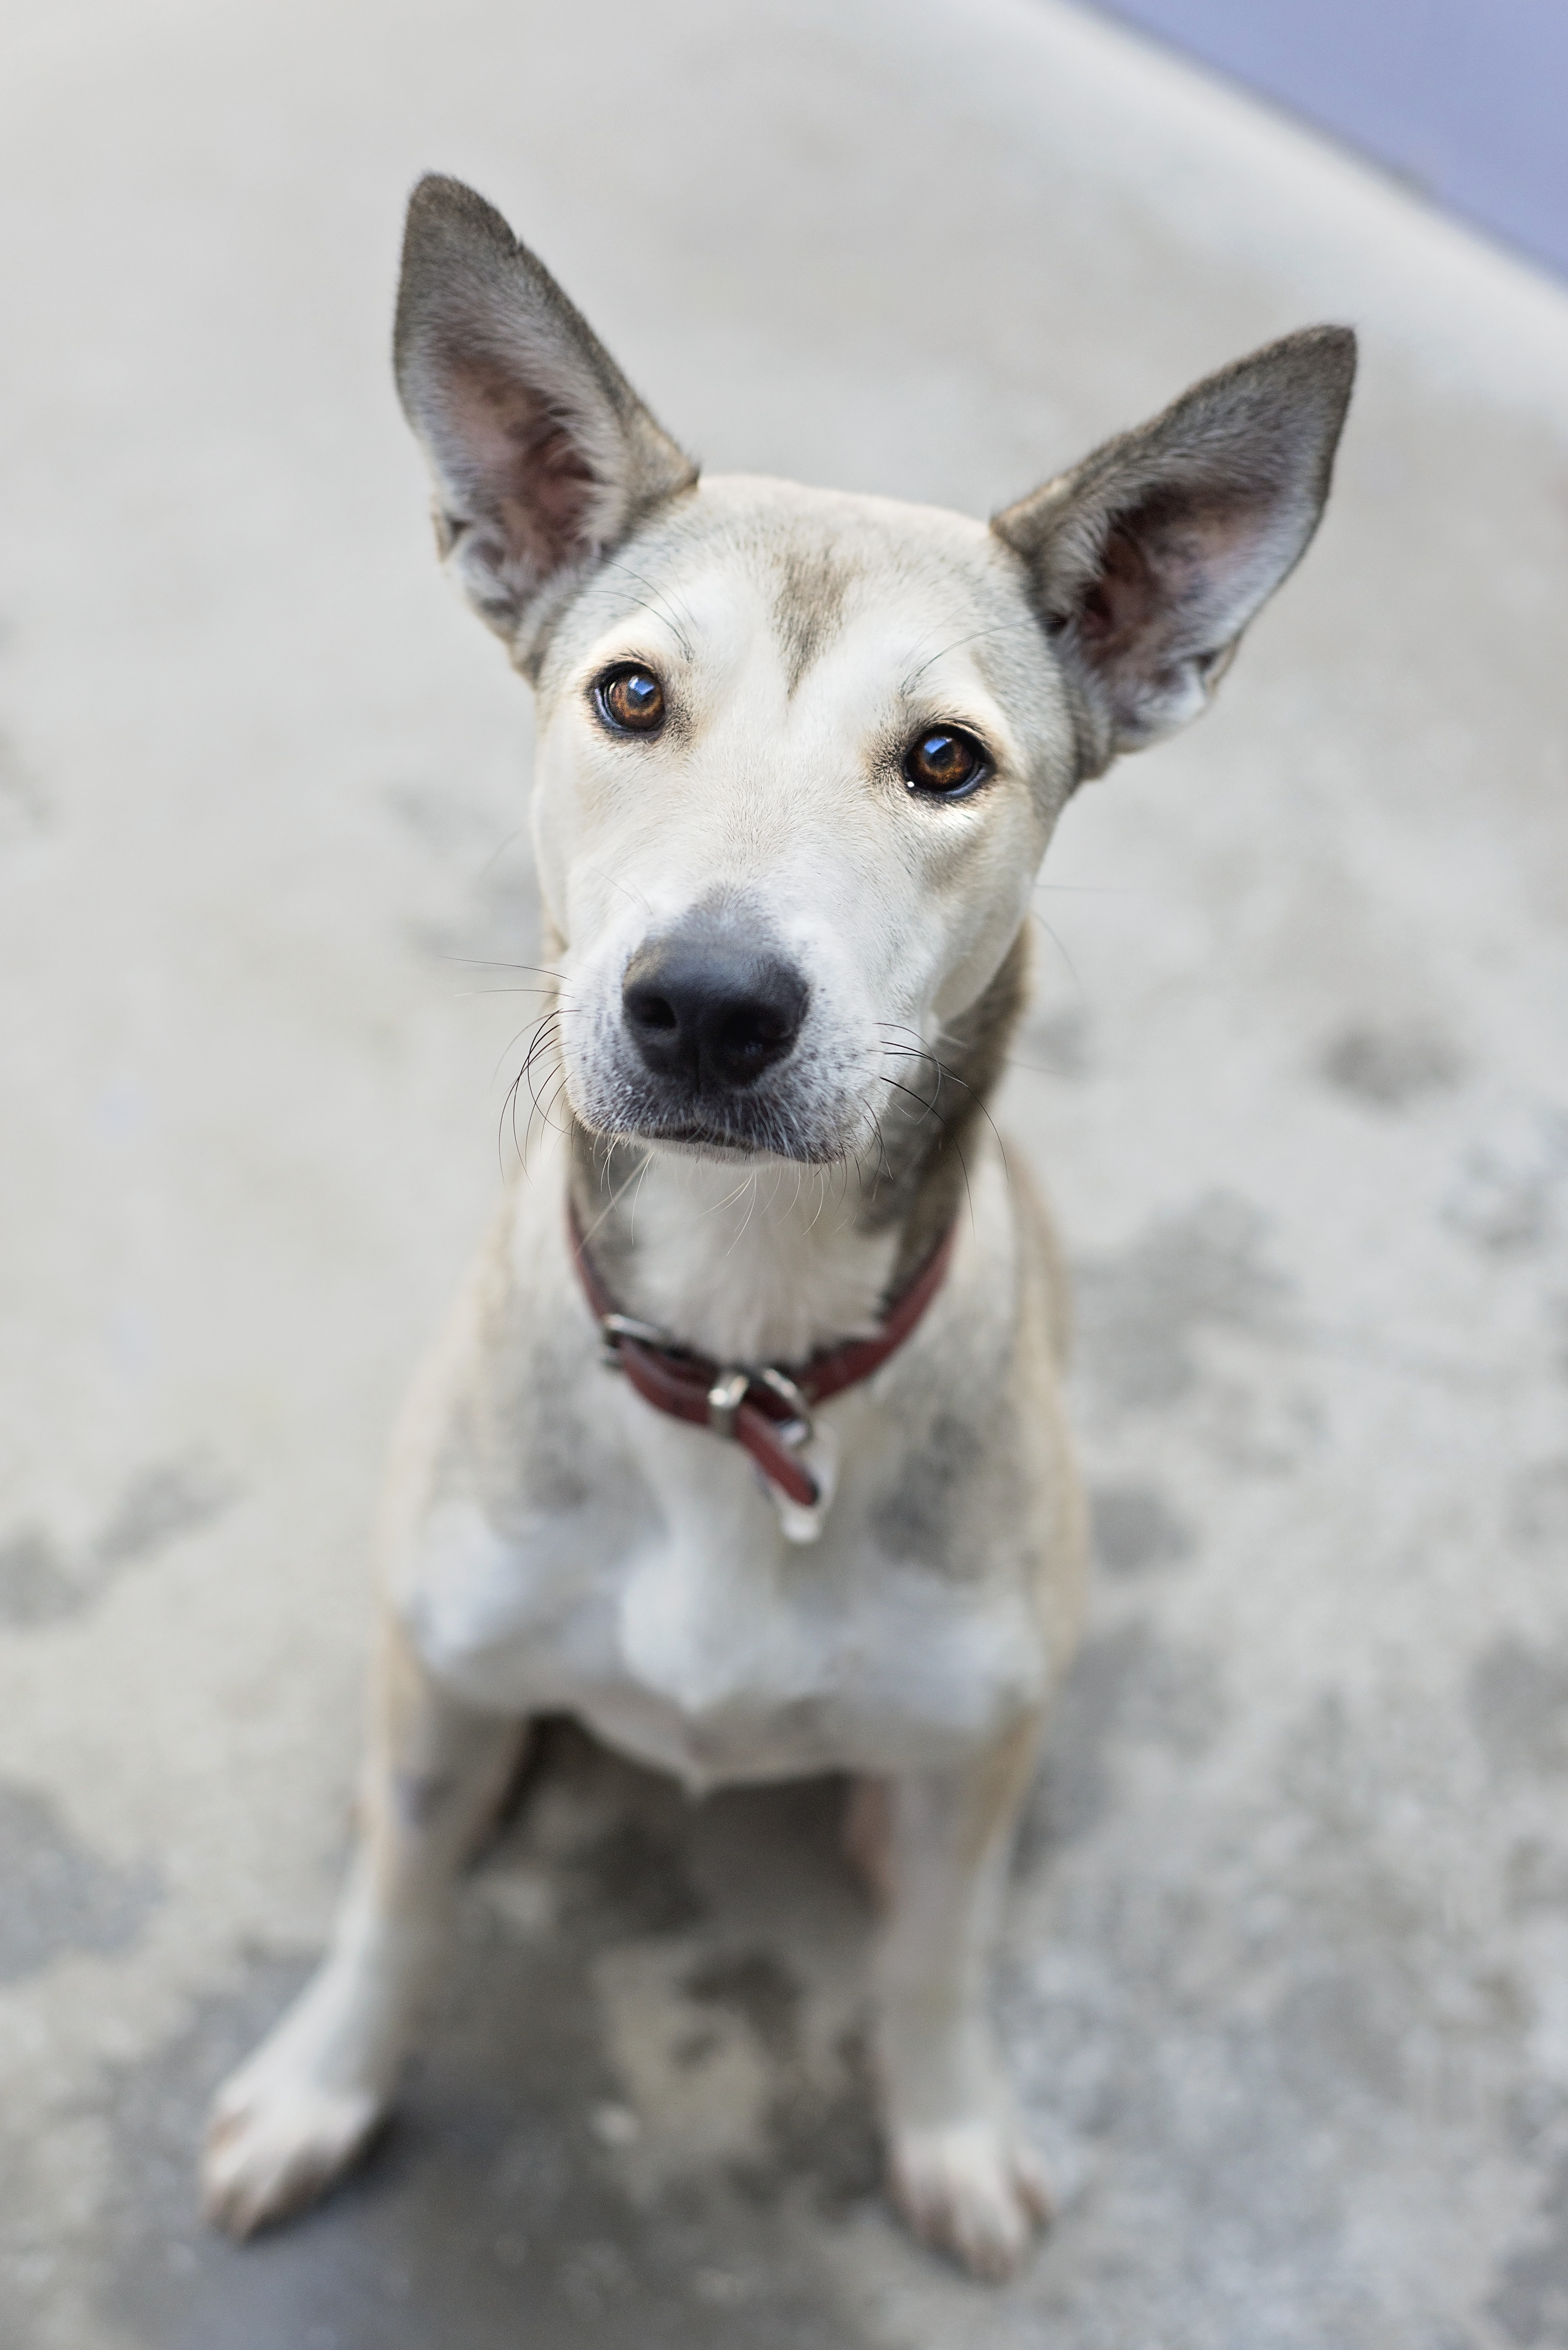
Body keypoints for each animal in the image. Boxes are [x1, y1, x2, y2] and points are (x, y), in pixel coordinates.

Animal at [201, 174, 1353, 2279]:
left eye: (945, 759)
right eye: (631, 696)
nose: (710, 1004)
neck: (743, 1353)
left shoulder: (974, 1757)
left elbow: (935, 1959)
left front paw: (951, 2122)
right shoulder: (436, 1678)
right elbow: (397, 1898)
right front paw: (326, 2079)